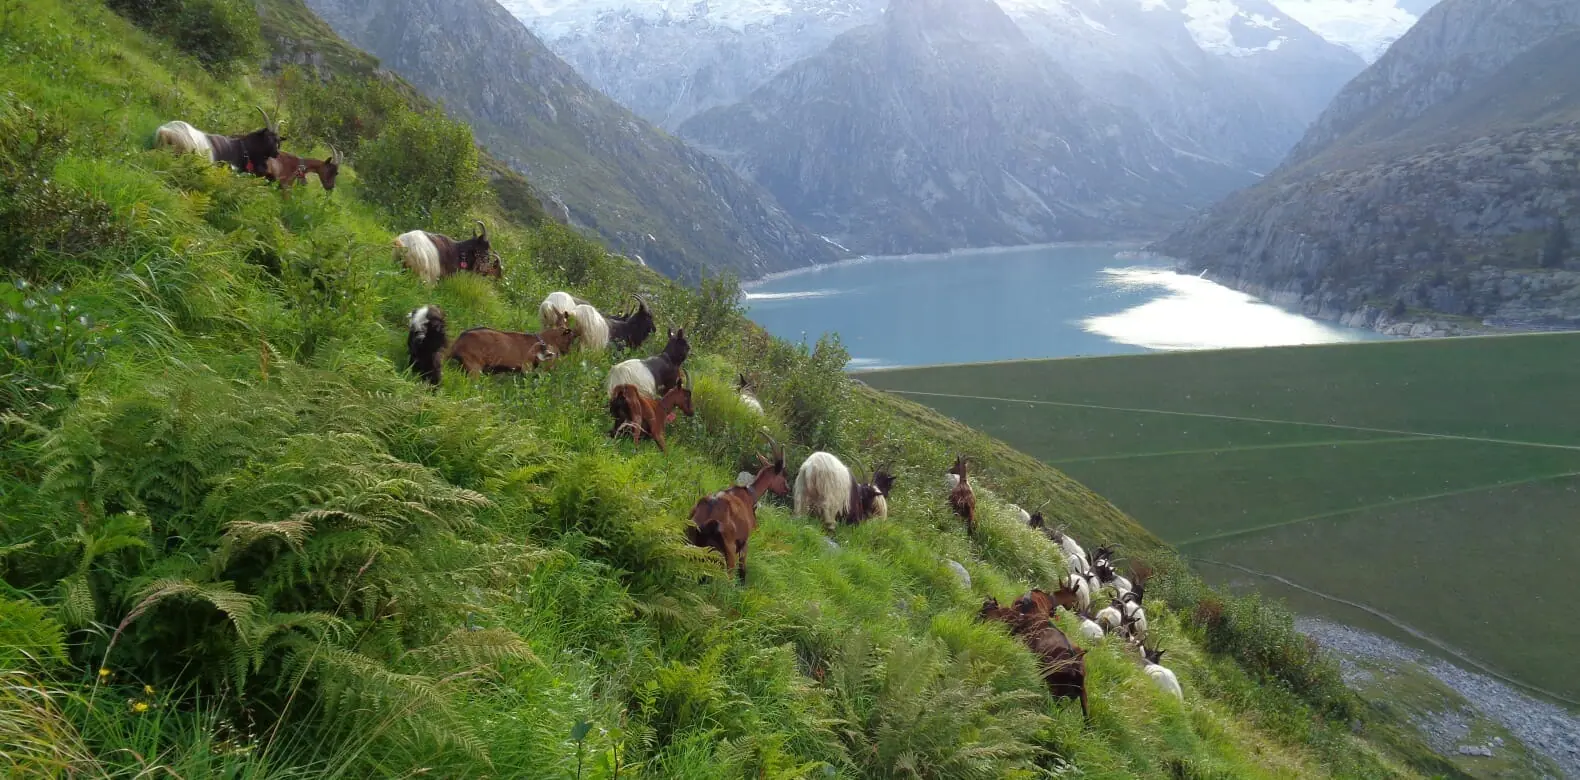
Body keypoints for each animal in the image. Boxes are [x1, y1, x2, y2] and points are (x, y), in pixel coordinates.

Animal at [682, 429, 786, 581]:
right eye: (783, 474)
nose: (787, 489)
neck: (750, 494)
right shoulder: (744, 542)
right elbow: (743, 570)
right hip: (728, 549)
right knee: (728, 577)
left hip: (692, 542)